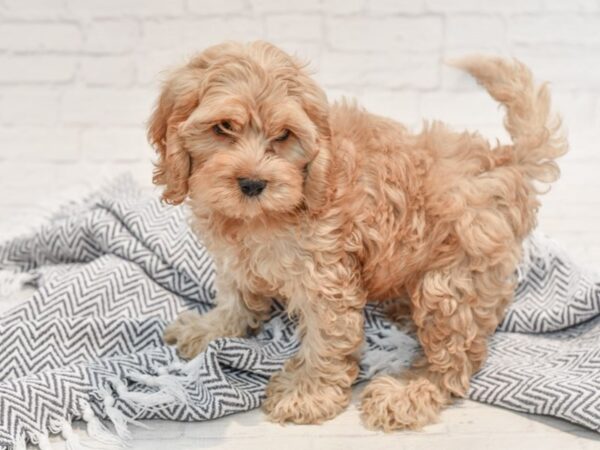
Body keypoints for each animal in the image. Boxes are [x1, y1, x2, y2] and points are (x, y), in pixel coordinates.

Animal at [148, 43, 564, 432]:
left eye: (283, 136)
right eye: (223, 127)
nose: (252, 183)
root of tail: (504, 161)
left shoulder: (325, 277)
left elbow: (325, 337)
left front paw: (307, 393)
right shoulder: (236, 260)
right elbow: (235, 299)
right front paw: (211, 329)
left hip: (452, 282)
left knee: (456, 358)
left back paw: (409, 392)